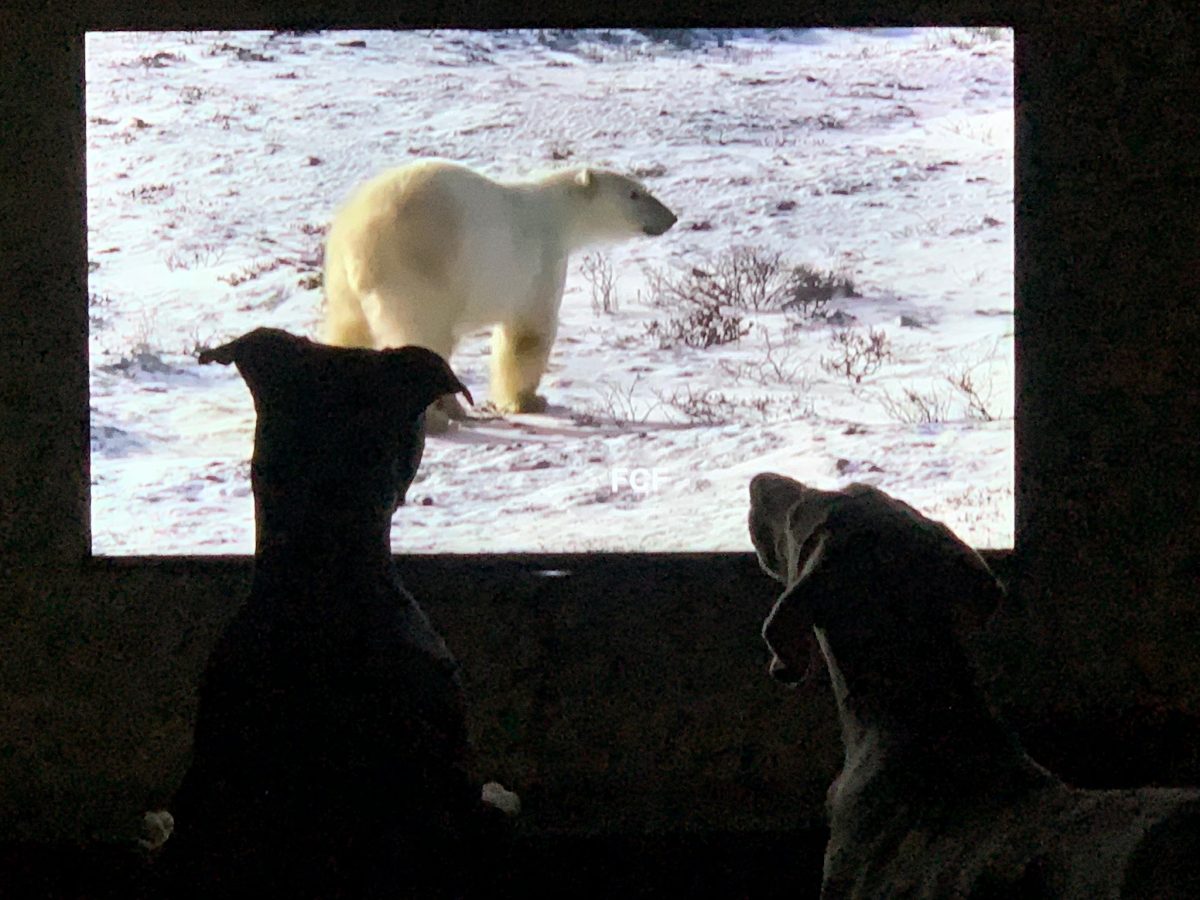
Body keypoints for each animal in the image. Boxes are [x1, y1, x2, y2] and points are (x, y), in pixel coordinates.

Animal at [321, 158, 677, 431]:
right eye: (635, 193)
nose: (671, 217)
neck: (557, 214)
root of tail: (359, 242)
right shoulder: (540, 262)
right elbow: (528, 334)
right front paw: (530, 400)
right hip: (421, 272)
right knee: (424, 335)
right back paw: (442, 416)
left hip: (340, 279)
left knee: (349, 330)